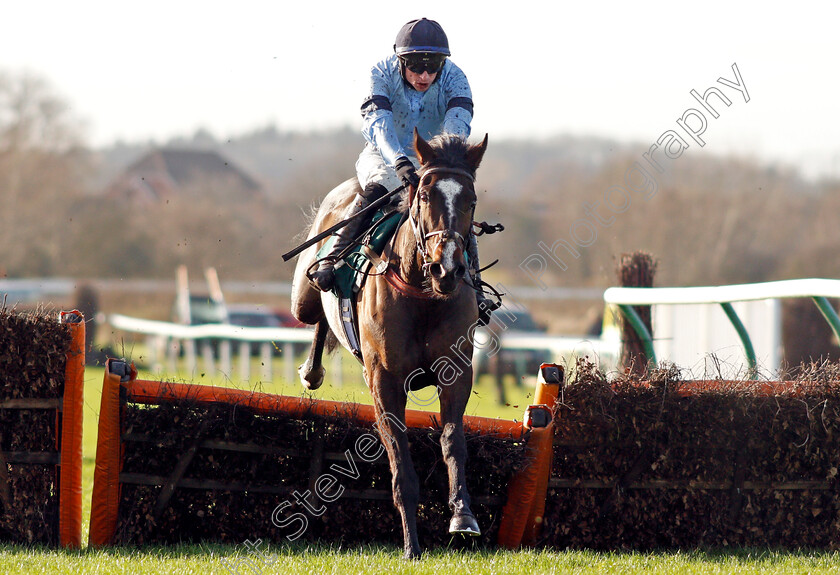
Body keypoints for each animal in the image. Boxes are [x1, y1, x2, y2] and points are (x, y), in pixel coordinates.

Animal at [290, 130, 488, 560]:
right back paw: (311, 370)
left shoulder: (457, 373)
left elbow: (453, 441)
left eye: (471, 199)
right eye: (424, 194)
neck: (423, 293)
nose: (448, 268)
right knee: (315, 315)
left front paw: (462, 517)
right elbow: (399, 456)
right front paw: (412, 544)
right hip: (303, 295)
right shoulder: (385, 381)